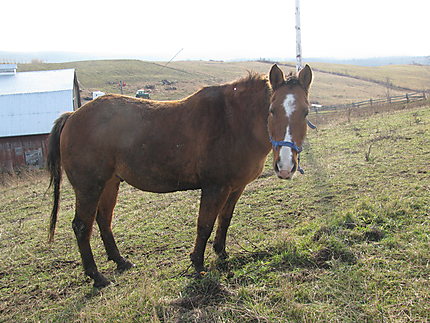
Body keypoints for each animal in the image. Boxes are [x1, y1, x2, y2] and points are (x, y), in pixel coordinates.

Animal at [47, 64, 312, 288]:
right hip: (89, 187)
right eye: (272, 110)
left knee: (104, 220)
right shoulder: (215, 187)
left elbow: (224, 220)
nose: (285, 165)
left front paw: (221, 253)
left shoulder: (236, 187)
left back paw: (121, 261)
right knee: (82, 226)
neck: (233, 121)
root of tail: (72, 116)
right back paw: (97, 276)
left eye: (306, 112)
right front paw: (198, 263)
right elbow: (204, 224)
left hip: (110, 184)